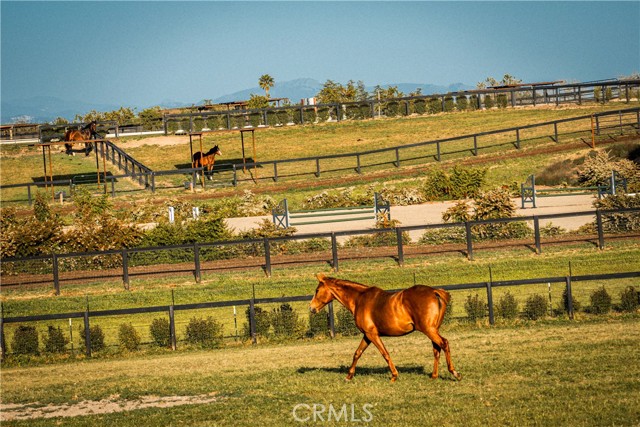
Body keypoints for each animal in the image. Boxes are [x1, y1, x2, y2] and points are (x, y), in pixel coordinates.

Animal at [310, 274, 460, 384]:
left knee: (444, 344)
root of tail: (435, 291)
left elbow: (385, 353)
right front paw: (349, 376)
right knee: (436, 349)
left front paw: (394, 375)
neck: (359, 300)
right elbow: (357, 353)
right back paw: (434, 376)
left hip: (429, 330)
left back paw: (454, 373)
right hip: (432, 330)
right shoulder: (367, 335)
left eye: (317, 291)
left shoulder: (372, 334)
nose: (311, 308)